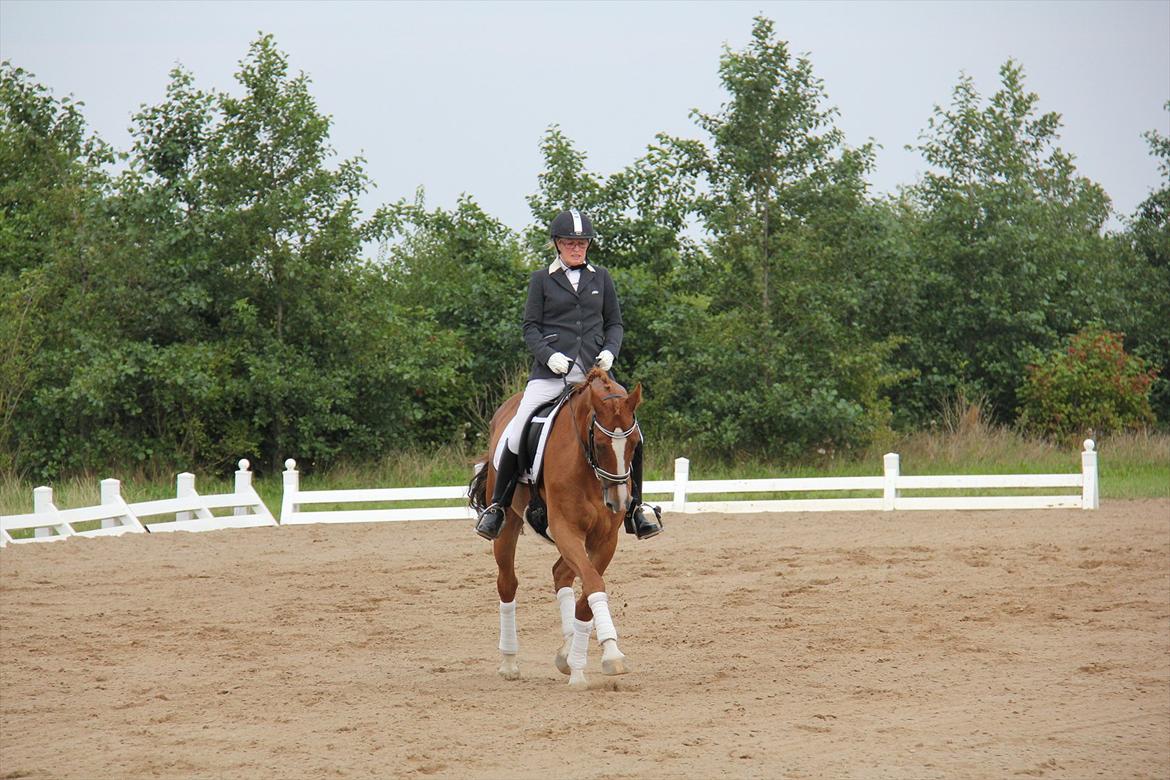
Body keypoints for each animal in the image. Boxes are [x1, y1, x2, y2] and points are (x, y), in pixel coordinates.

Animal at [467, 367, 650, 687]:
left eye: (634, 444)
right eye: (599, 444)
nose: (619, 502)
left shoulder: (605, 539)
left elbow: (588, 591)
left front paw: (593, 655)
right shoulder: (566, 529)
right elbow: (593, 583)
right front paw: (597, 659)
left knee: (560, 573)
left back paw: (567, 647)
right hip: (508, 524)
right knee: (507, 583)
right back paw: (509, 663)